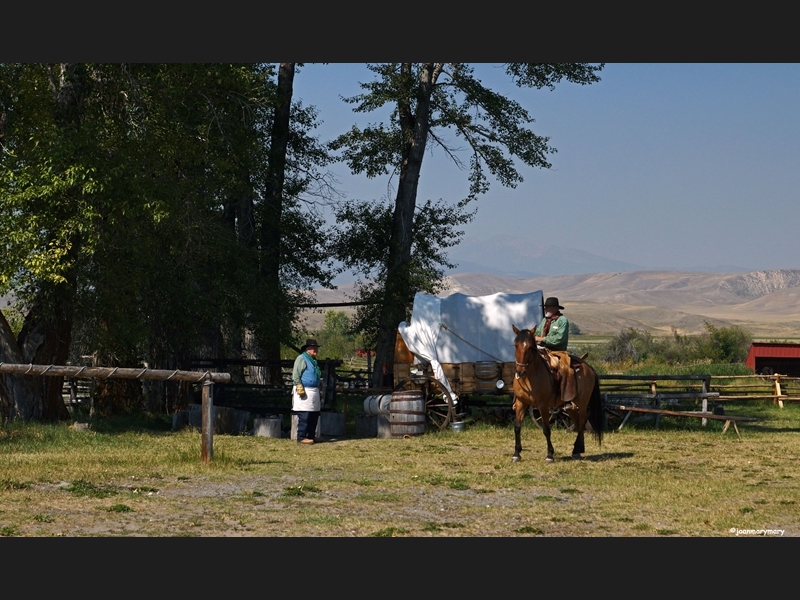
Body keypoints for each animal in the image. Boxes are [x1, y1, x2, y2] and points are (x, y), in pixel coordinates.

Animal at [510, 326, 604, 462]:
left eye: (530, 347)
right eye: (516, 345)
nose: (520, 372)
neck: (529, 377)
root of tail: (589, 368)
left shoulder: (543, 406)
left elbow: (546, 429)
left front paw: (550, 455)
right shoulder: (521, 403)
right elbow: (517, 427)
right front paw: (516, 454)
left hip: (582, 403)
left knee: (581, 422)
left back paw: (578, 449)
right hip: (570, 407)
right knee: (577, 422)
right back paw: (577, 450)